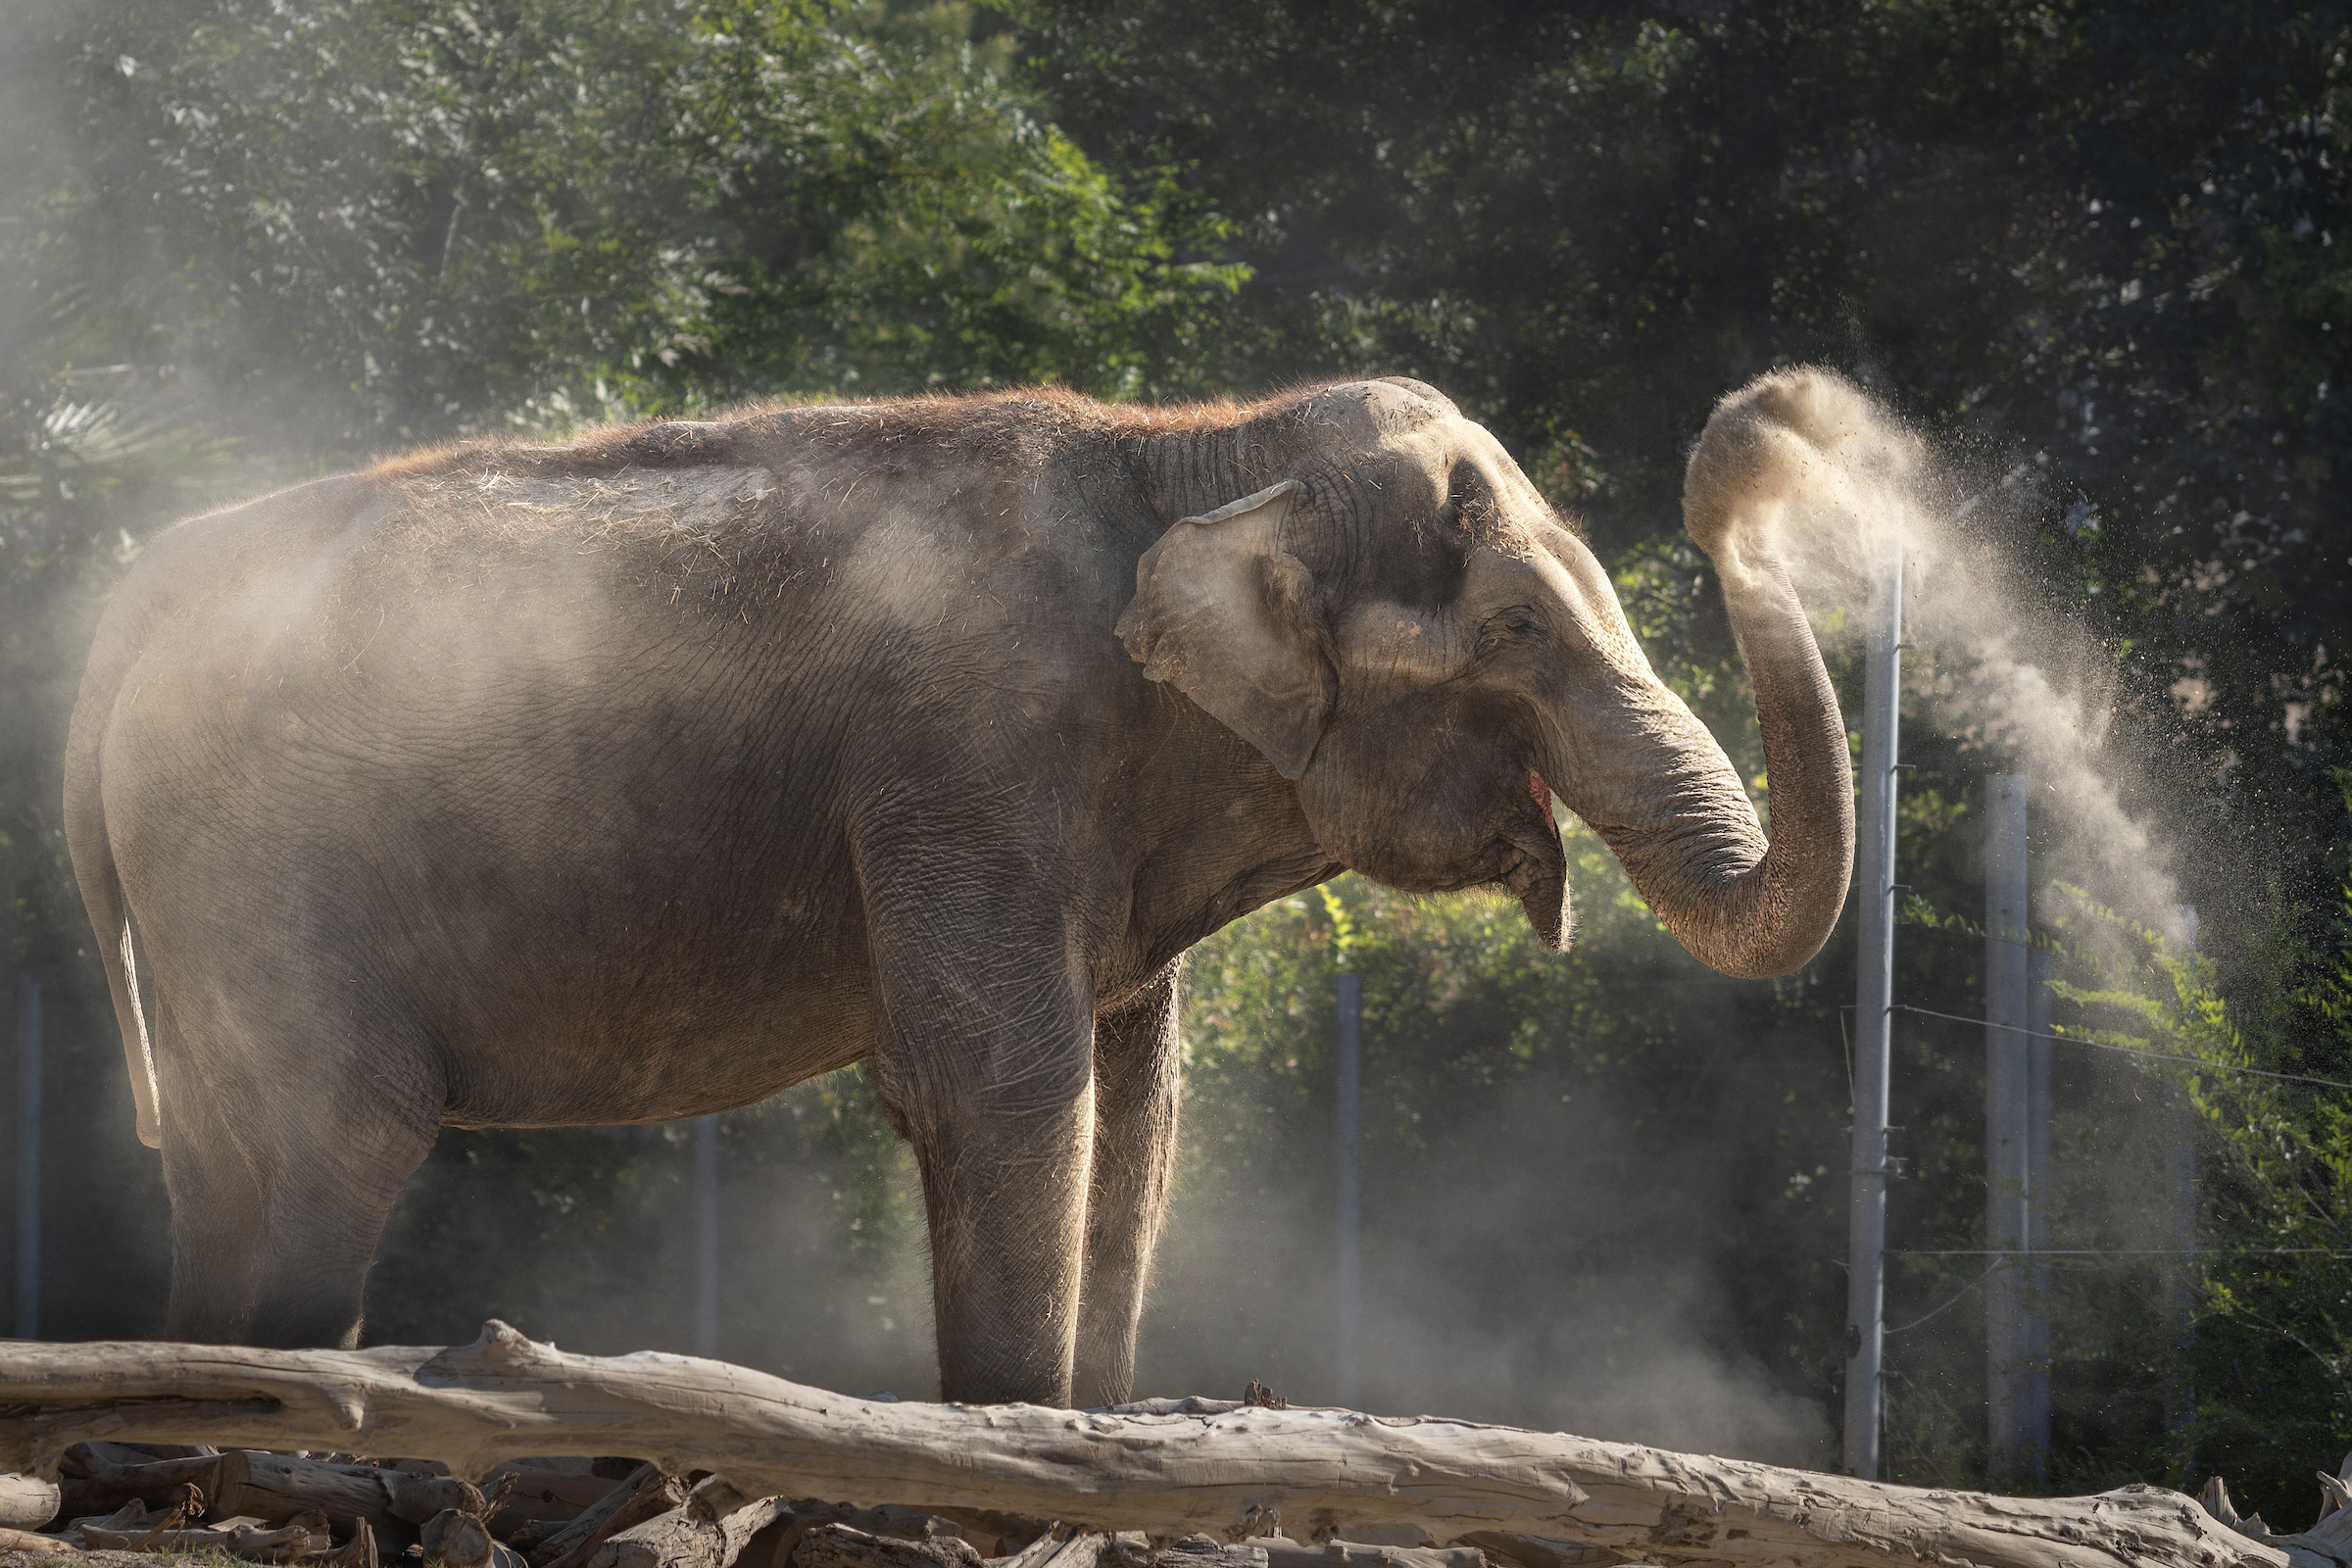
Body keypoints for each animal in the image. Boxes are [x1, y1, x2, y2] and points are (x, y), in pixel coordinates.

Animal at [65, 366, 1859, 1406]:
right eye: (1517, 633)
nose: (1771, 421)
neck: (1193, 451)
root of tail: (134, 601)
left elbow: (1137, 1115)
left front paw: (1086, 1434)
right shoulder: (968, 761)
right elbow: (998, 1089)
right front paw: (1010, 1434)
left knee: (224, 1163)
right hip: (269, 856)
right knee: (337, 1141)